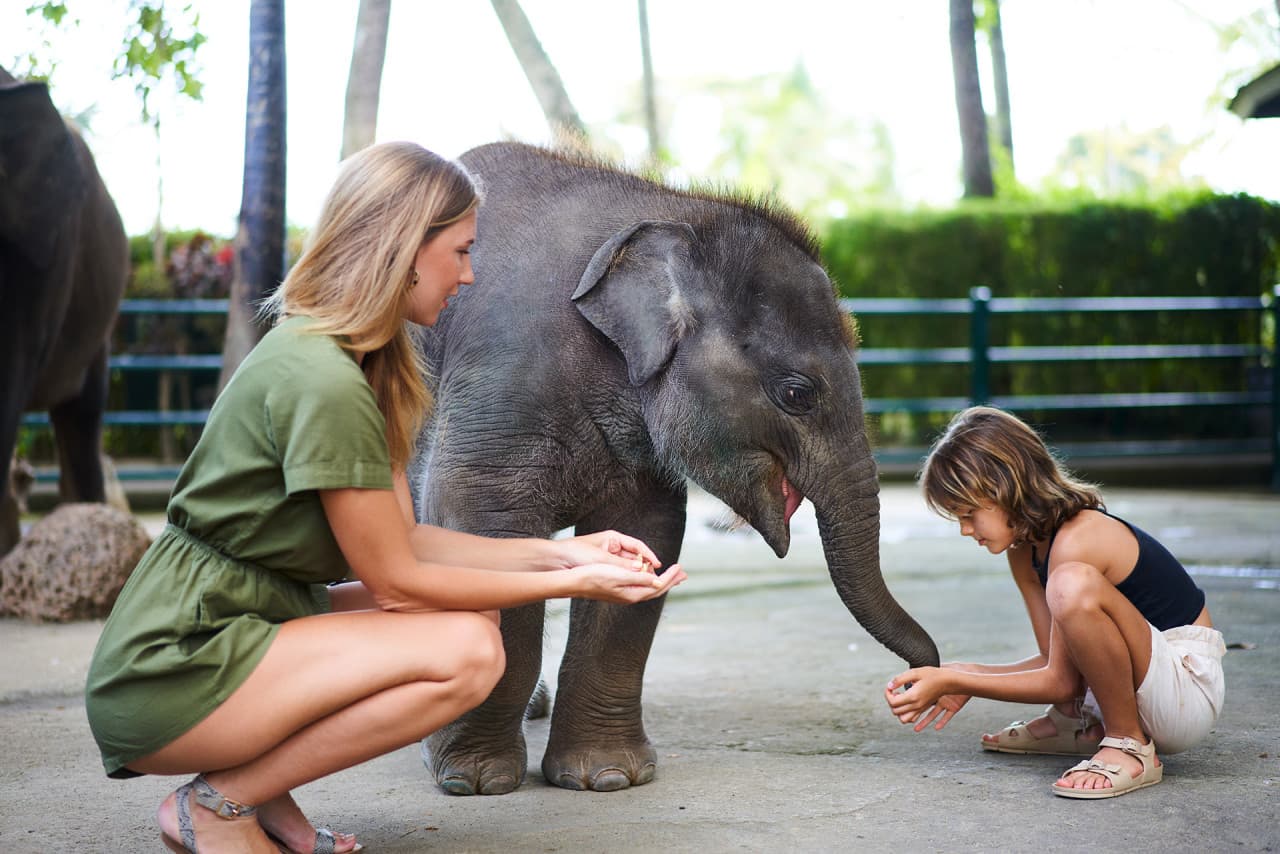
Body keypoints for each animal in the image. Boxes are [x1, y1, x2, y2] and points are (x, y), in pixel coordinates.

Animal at [412, 141, 939, 795]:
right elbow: (486, 531)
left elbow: (646, 535)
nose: (914, 685)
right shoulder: (503, 375)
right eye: (797, 393)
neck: (674, 212)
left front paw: (609, 778)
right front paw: (474, 781)